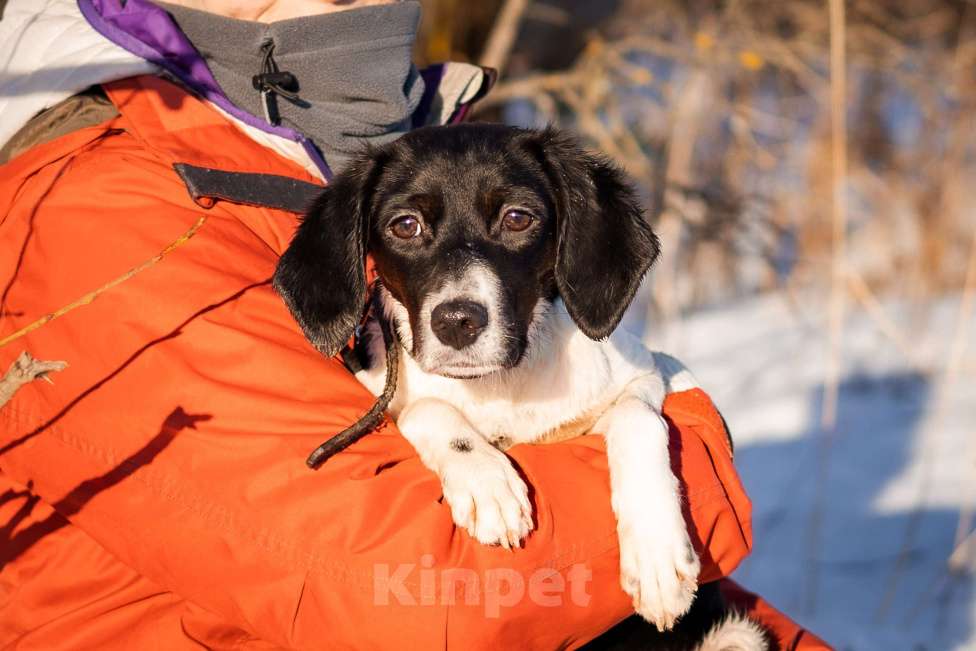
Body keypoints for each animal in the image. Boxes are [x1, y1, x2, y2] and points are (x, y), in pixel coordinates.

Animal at [276, 122, 772, 648]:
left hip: (738, 634)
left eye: (517, 218)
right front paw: (486, 482)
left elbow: (638, 419)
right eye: (405, 225)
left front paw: (657, 557)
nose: (456, 323)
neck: (501, 384)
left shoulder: (646, 373)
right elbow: (425, 408)